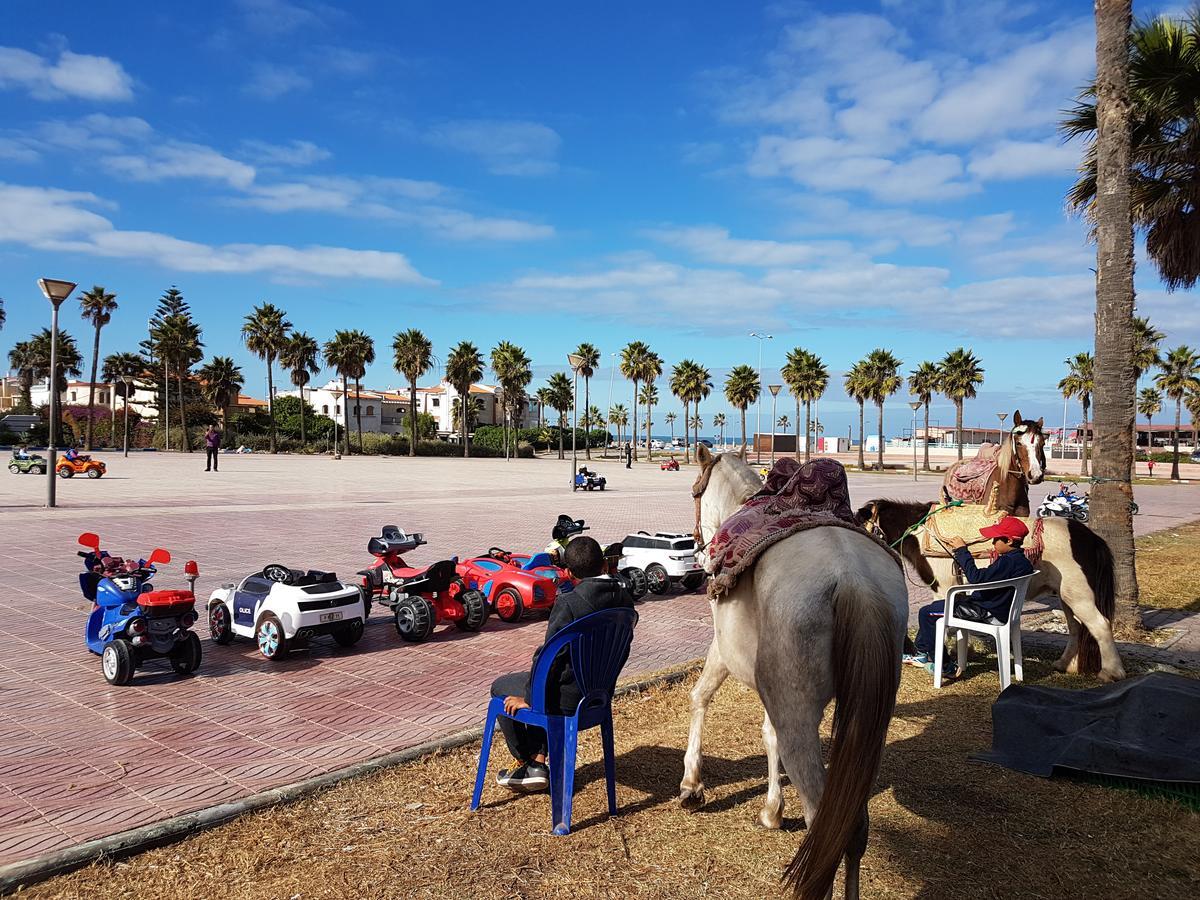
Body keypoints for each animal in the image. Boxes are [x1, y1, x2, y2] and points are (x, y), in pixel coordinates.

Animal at [681, 448, 902, 900]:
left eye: (695, 490)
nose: (694, 545)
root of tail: (855, 581)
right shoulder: (775, 690)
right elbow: (769, 735)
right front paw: (773, 810)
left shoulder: (725, 652)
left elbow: (700, 696)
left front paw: (692, 783)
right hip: (868, 720)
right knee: (855, 828)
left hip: (800, 714)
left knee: (825, 827)